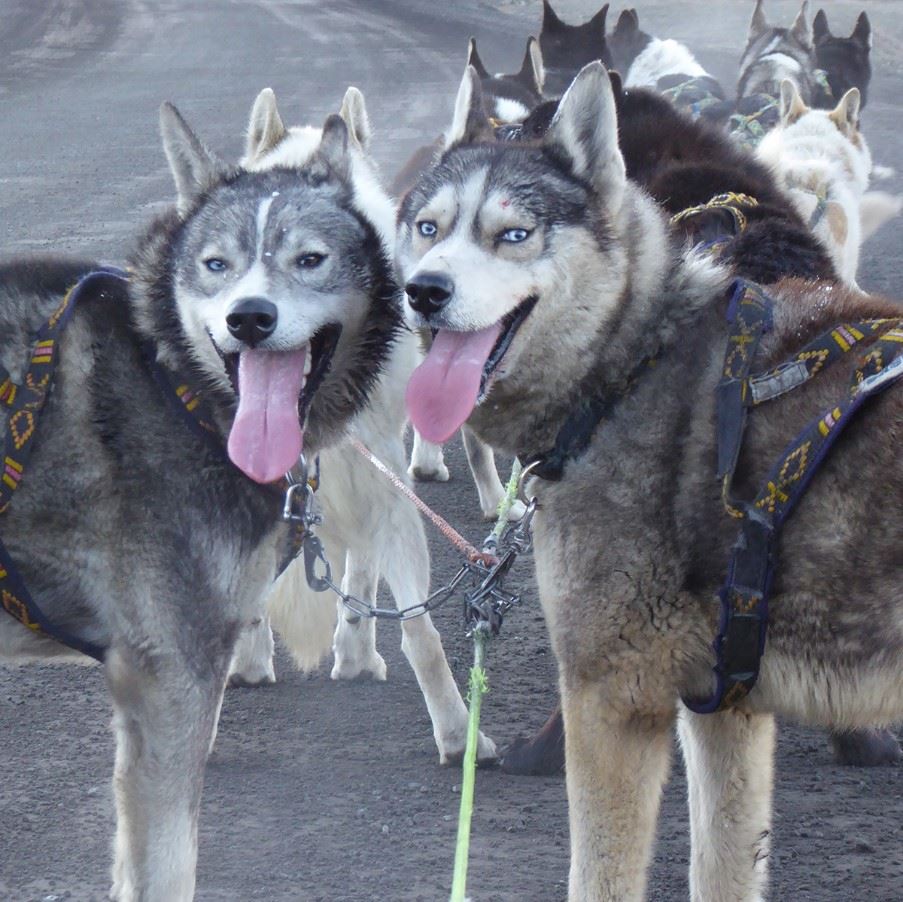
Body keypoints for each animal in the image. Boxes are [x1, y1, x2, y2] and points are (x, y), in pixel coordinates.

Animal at [0, 102, 402, 900]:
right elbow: (169, 868)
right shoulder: (170, 684)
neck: (175, 381)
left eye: (310, 259)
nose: (249, 316)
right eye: (216, 265)